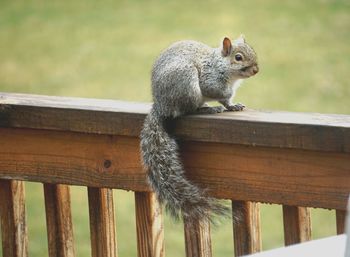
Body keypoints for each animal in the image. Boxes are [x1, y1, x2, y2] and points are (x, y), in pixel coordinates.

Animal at [139, 35, 258, 223]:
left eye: (252, 50)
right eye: (238, 57)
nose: (256, 70)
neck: (222, 66)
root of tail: (161, 106)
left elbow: (227, 101)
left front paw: (233, 105)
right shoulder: (210, 80)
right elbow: (219, 93)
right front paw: (227, 99)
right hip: (187, 84)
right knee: (188, 109)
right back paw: (208, 109)